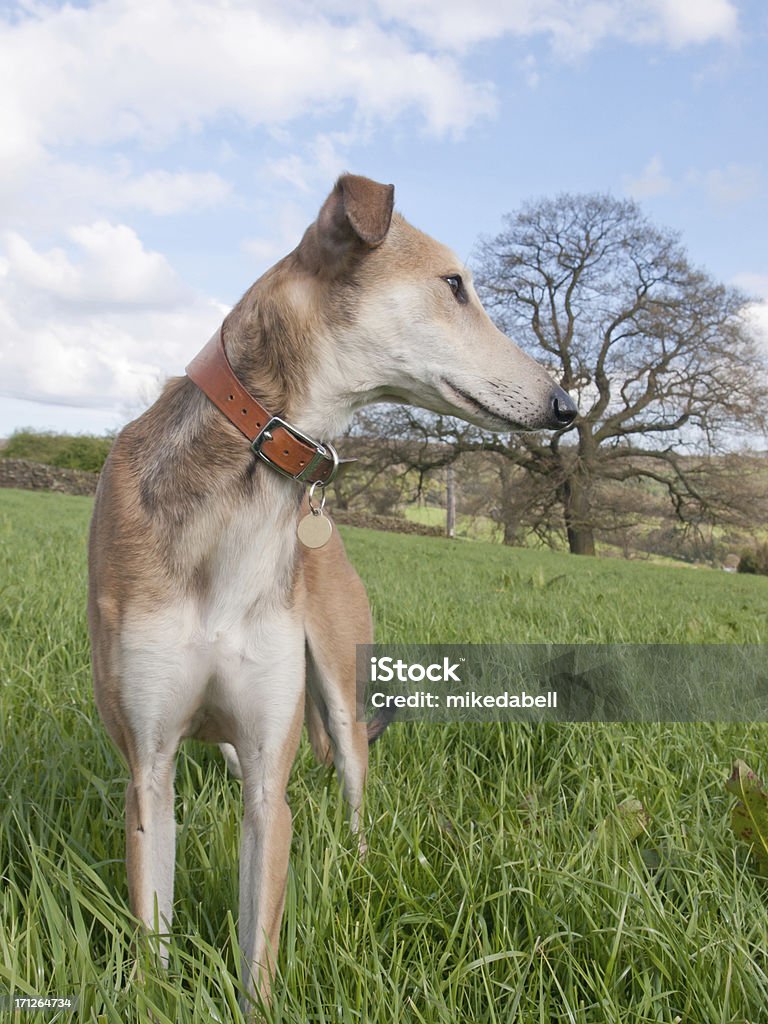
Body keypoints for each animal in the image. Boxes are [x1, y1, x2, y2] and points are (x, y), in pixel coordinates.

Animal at [88, 172, 577, 1003]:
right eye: (454, 285)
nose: (565, 406)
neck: (246, 487)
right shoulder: (147, 771)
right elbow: (153, 938)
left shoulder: (269, 790)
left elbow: (258, 950)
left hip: (342, 695)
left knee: (354, 795)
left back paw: (361, 867)